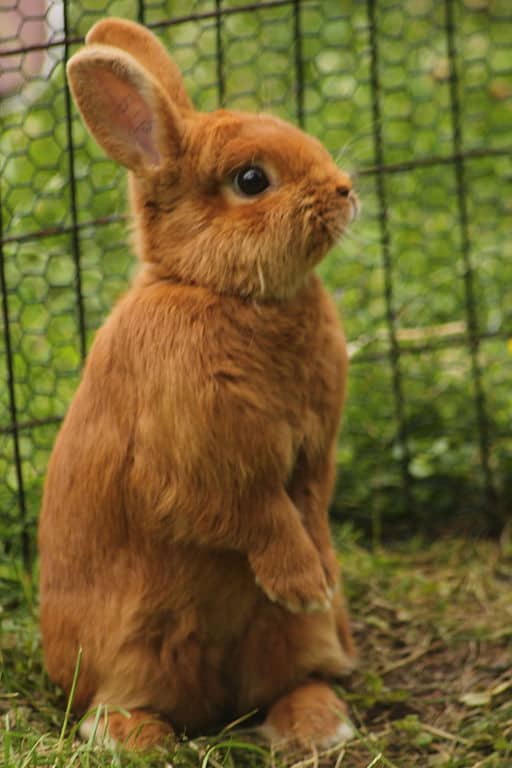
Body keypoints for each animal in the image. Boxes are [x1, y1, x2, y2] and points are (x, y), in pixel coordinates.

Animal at [38, 18, 358, 756]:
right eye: (251, 180)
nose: (344, 189)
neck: (222, 291)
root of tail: (214, 706)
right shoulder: (198, 461)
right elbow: (259, 513)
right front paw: (303, 581)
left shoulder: (312, 457)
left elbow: (308, 505)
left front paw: (324, 576)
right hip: (134, 643)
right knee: (119, 698)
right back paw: (133, 737)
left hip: (281, 640)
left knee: (285, 679)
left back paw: (317, 723)